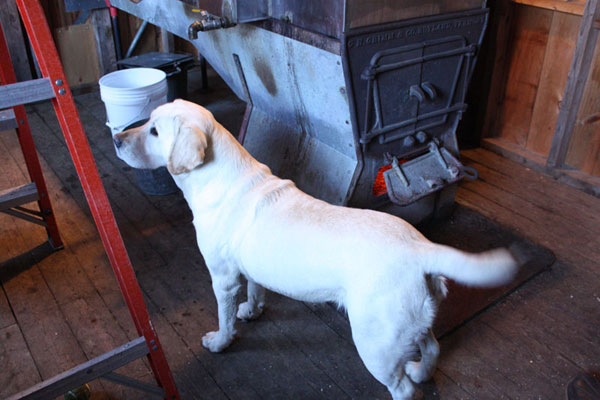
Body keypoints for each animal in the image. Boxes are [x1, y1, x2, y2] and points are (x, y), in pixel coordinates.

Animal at [115, 100, 516, 400]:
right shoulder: (251, 268)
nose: (117, 138)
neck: (220, 175)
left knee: (402, 388)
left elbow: (225, 316)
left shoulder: (223, 278)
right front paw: (252, 311)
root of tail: (420, 248)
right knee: (432, 349)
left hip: (375, 342)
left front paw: (220, 341)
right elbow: (256, 291)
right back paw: (421, 370)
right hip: (414, 322)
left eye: (154, 131)